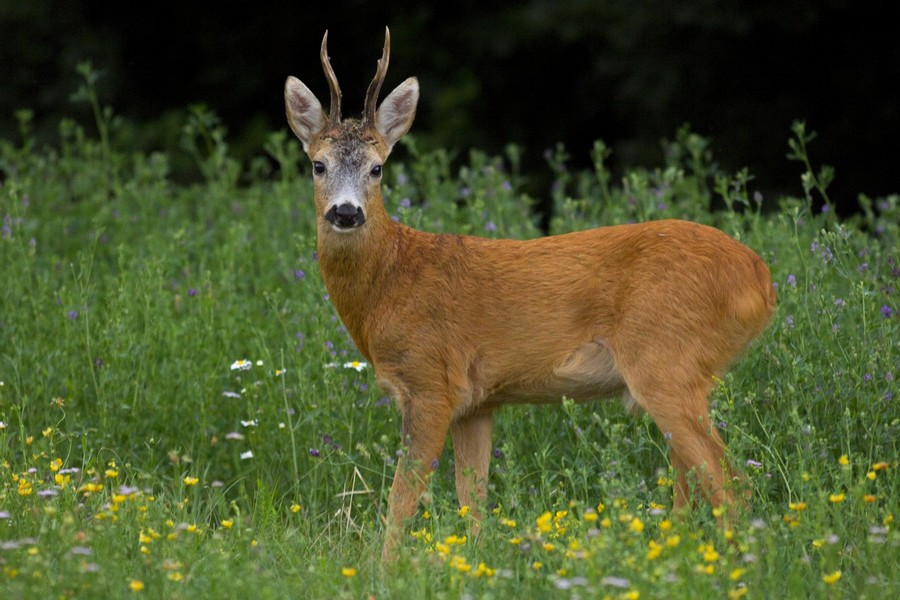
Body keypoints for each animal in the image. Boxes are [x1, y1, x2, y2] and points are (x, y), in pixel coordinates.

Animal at [284, 27, 776, 564]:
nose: (346, 213)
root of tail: (761, 279)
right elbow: (472, 499)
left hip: (666, 361)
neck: (389, 285)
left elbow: (403, 497)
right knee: (696, 482)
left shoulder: (431, 383)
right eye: (317, 165)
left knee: (733, 483)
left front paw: (384, 571)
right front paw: (476, 563)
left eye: (377, 169)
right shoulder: (476, 403)